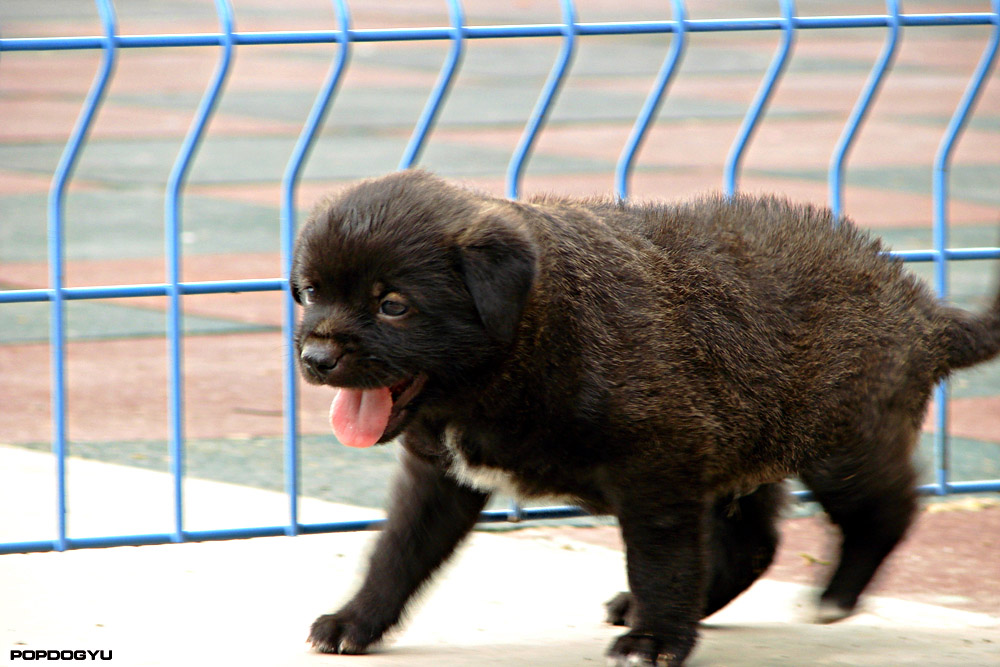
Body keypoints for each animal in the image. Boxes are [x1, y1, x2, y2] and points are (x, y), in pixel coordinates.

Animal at [290, 170, 1000, 664]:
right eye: (311, 291)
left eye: (393, 305)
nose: (315, 356)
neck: (535, 332)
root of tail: (924, 311)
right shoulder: (440, 477)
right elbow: (398, 553)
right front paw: (356, 621)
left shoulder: (658, 465)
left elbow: (661, 559)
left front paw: (656, 639)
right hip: (749, 444)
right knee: (754, 545)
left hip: (844, 442)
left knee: (887, 509)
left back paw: (836, 597)